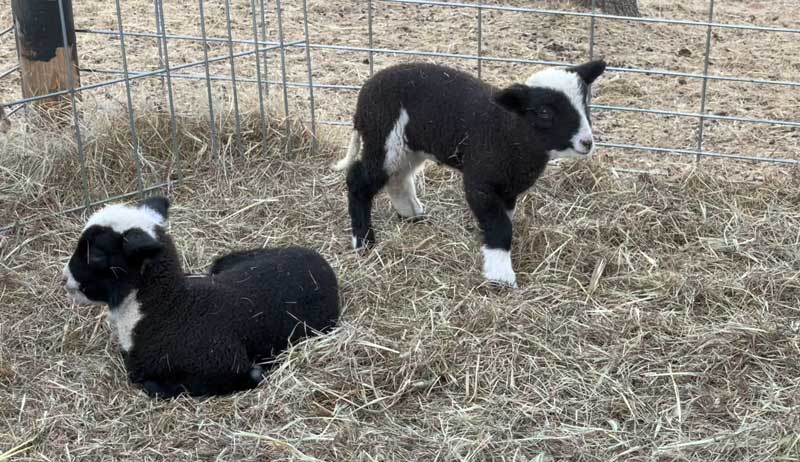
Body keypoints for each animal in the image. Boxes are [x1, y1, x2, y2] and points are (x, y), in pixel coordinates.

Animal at [61, 196, 340, 398]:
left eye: (97, 255)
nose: (64, 279)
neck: (168, 308)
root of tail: (322, 263)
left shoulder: (229, 367)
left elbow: (155, 386)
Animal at [334, 60, 607, 287]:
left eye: (585, 104)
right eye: (544, 112)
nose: (587, 143)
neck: (509, 131)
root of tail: (364, 94)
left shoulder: (508, 187)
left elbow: (503, 219)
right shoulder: (479, 180)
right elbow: (500, 226)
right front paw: (500, 275)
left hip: (408, 147)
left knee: (397, 178)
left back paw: (410, 213)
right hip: (385, 139)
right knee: (359, 180)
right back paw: (363, 240)